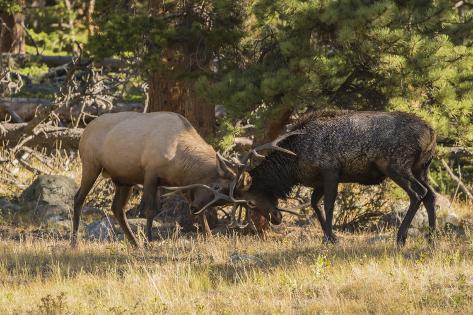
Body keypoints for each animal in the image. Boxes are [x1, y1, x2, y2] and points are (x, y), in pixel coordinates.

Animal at [229, 111, 436, 247]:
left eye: (251, 202)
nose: (276, 218)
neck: (293, 164)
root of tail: (431, 133)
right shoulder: (319, 180)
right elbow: (315, 203)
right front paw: (332, 236)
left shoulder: (330, 170)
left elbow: (329, 204)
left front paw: (328, 238)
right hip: (421, 169)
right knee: (430, 195)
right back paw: (431, 236)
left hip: (396, 165)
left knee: (418, 193)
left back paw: (401, 238)